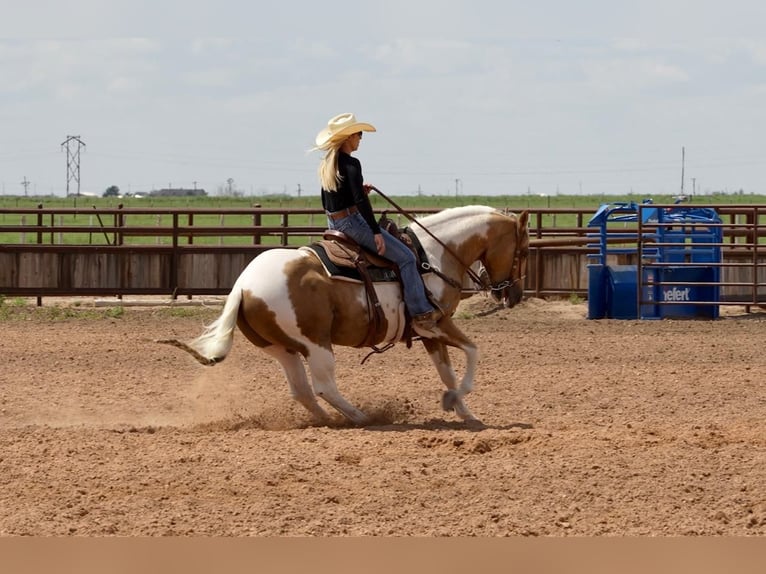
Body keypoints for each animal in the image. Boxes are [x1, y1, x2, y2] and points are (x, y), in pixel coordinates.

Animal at [164, 207, 528, 428]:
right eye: (523, 250)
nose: (512, 295)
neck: (432, 256)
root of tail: (243, 285)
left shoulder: (428, 334)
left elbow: (447, 373)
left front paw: (464, 412)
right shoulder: (435, 323)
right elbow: (473, 352)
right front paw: (456, 401)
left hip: (283, 349)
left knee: (303, 391)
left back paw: (330, 420)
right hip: (316, 344)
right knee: (324, 386)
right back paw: (362, 417)